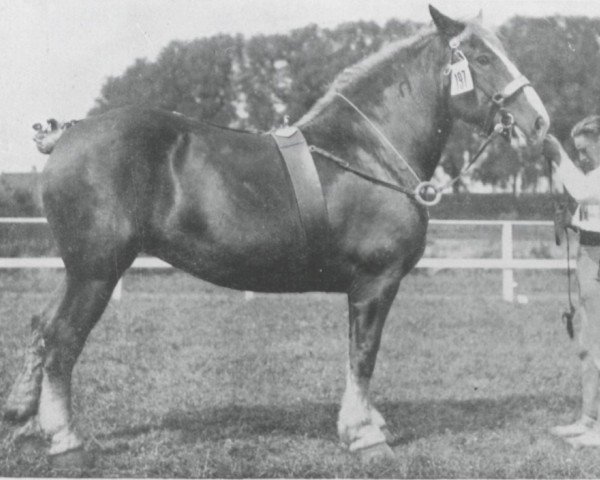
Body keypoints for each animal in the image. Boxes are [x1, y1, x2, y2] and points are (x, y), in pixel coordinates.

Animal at [4, 4, 548, 462]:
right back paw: (65, 440)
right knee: (62, 338)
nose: (539, 121)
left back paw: (23, 416)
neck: (367, 152)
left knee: (40, 326)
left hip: (79, 269)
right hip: (97, 271)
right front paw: (364, 436)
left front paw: (370, 424)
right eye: (481, 56)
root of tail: (70, 133)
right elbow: (364, 353)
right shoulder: (376, 282)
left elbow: (358, 353)